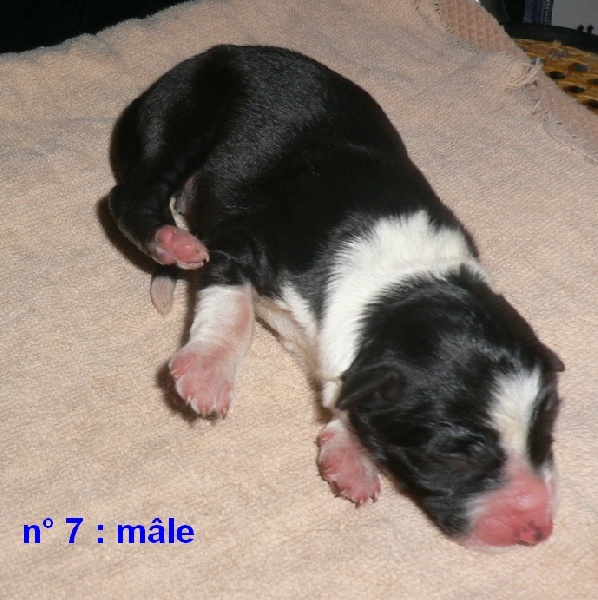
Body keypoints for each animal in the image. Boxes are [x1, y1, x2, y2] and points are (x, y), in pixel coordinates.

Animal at [108, 45, 564, 548]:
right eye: (456, 454)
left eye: (546, 430)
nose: (538, 530)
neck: (403, 280)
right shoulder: (237, 241)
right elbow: (232, 306)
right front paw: (207, 373)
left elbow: (352, 395)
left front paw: (350, 457)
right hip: (187, 114)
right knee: (129, 195)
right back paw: (173, 243)